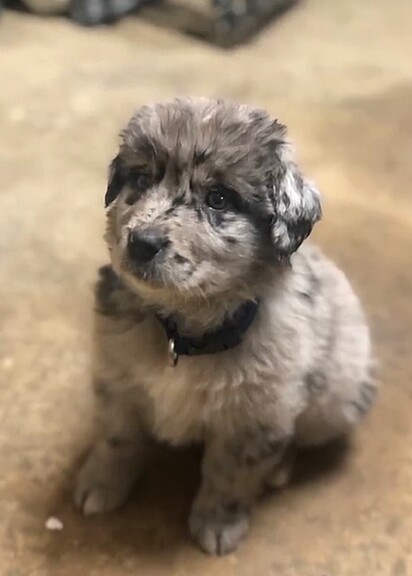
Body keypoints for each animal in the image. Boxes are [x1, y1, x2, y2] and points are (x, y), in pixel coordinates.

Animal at [74, 97, 376, 556]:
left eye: (218, 199)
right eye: (140, 179)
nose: (142, 243)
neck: (183, 333)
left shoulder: (254, 418)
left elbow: (229, 476)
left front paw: (218, 524)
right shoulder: (117, 380)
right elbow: (117, 440)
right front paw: (99, 485)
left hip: (334, 401)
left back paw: (279, 469)